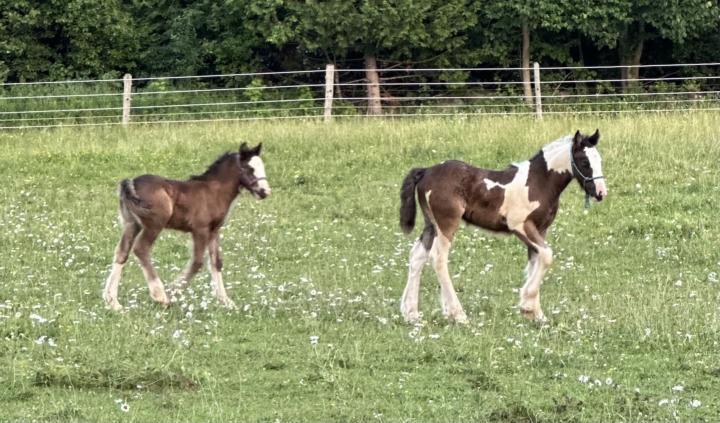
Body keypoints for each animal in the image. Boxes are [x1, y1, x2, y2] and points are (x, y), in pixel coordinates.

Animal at [102, 143, 271, 311]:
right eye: (249, 168)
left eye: (262, 166)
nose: (265, 192)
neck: (214, 191)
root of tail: (131, 183)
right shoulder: (200, 229)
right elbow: (197, 263)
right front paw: (172, 291)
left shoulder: (214, 231)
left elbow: (216, 262)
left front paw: (226, 301)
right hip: (154, 224)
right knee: (141, 249)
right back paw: (161, 296)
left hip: (132, 224)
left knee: (122, 253)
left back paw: (113, 301)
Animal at [398, 130, 607, 323]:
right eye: (585, 162)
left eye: (599, 160)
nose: (601, 193)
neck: (537, 182)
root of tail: (425, 171)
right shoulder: (520, 226)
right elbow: (547, 256)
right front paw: (528, 306)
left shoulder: (541, 229)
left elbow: (536, 262)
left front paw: (535, 313)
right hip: (446, 224)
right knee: (438, 259)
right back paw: (457, 314)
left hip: (431, 225)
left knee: (417, 256)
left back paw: (411, 313)